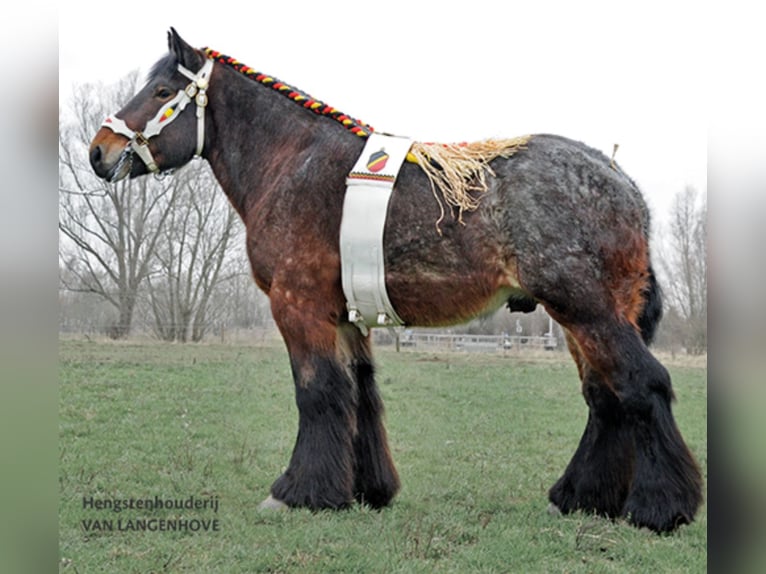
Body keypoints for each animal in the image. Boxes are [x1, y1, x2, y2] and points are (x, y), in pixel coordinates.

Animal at [88, 28, 702, 533]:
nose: (99, 151)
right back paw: (578, 498)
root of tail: (622, 184)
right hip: (583, 319)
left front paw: (296, 493)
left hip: (586, 310)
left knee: (642, 385)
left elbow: (318, 392)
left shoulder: (298, 306)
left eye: (162, 90)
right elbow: (359, 394)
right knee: (606, 398)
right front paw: (365, 490)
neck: (293, 161)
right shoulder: (345, 315)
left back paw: (660, 508)